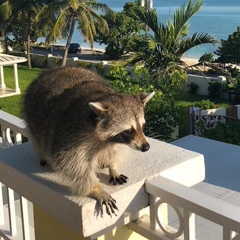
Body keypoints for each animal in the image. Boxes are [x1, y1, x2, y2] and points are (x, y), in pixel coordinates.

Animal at [23, 66, 155, 216]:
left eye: (142, 126)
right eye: (128, 131)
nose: (146, 147)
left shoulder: (116, 141)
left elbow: (115, 150)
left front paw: (113, 166)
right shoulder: (68, 137)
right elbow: (75, 167)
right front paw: (96, 189)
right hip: (32, 117)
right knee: (39, 139)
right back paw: (44, 154)